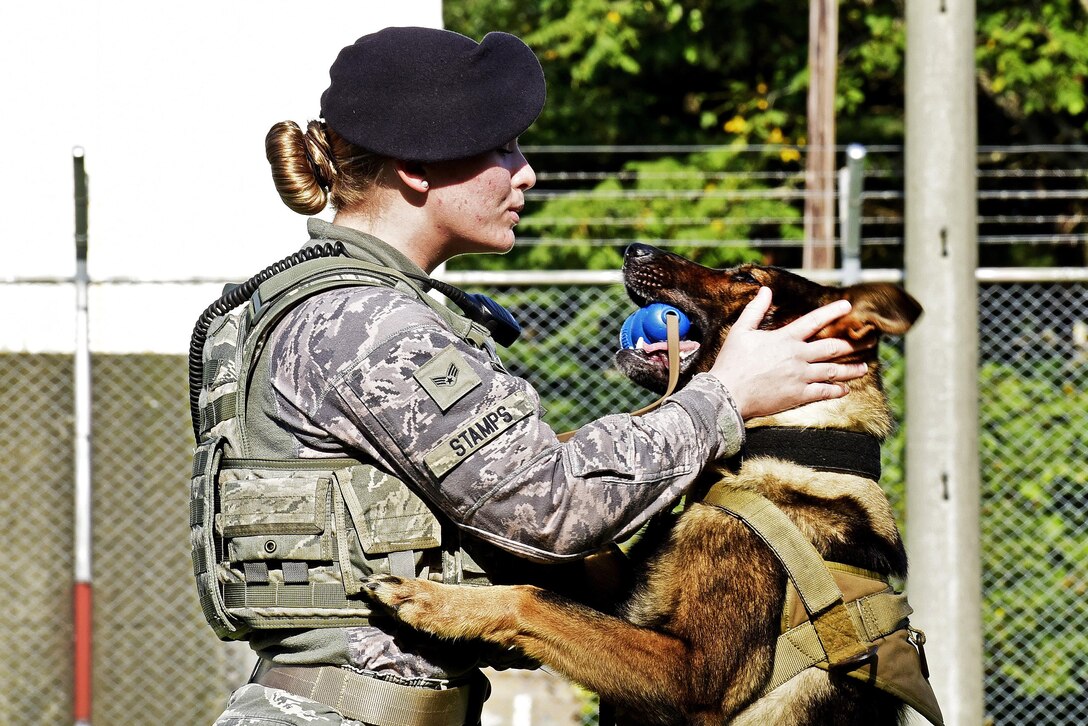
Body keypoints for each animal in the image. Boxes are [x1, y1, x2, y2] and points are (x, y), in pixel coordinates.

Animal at [363, 245, 935, 726]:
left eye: (747, 278)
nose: (634, 249)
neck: (796, 439)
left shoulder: (692, 677)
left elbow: (532, 599)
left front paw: (431, 599)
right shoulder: (621, 594)